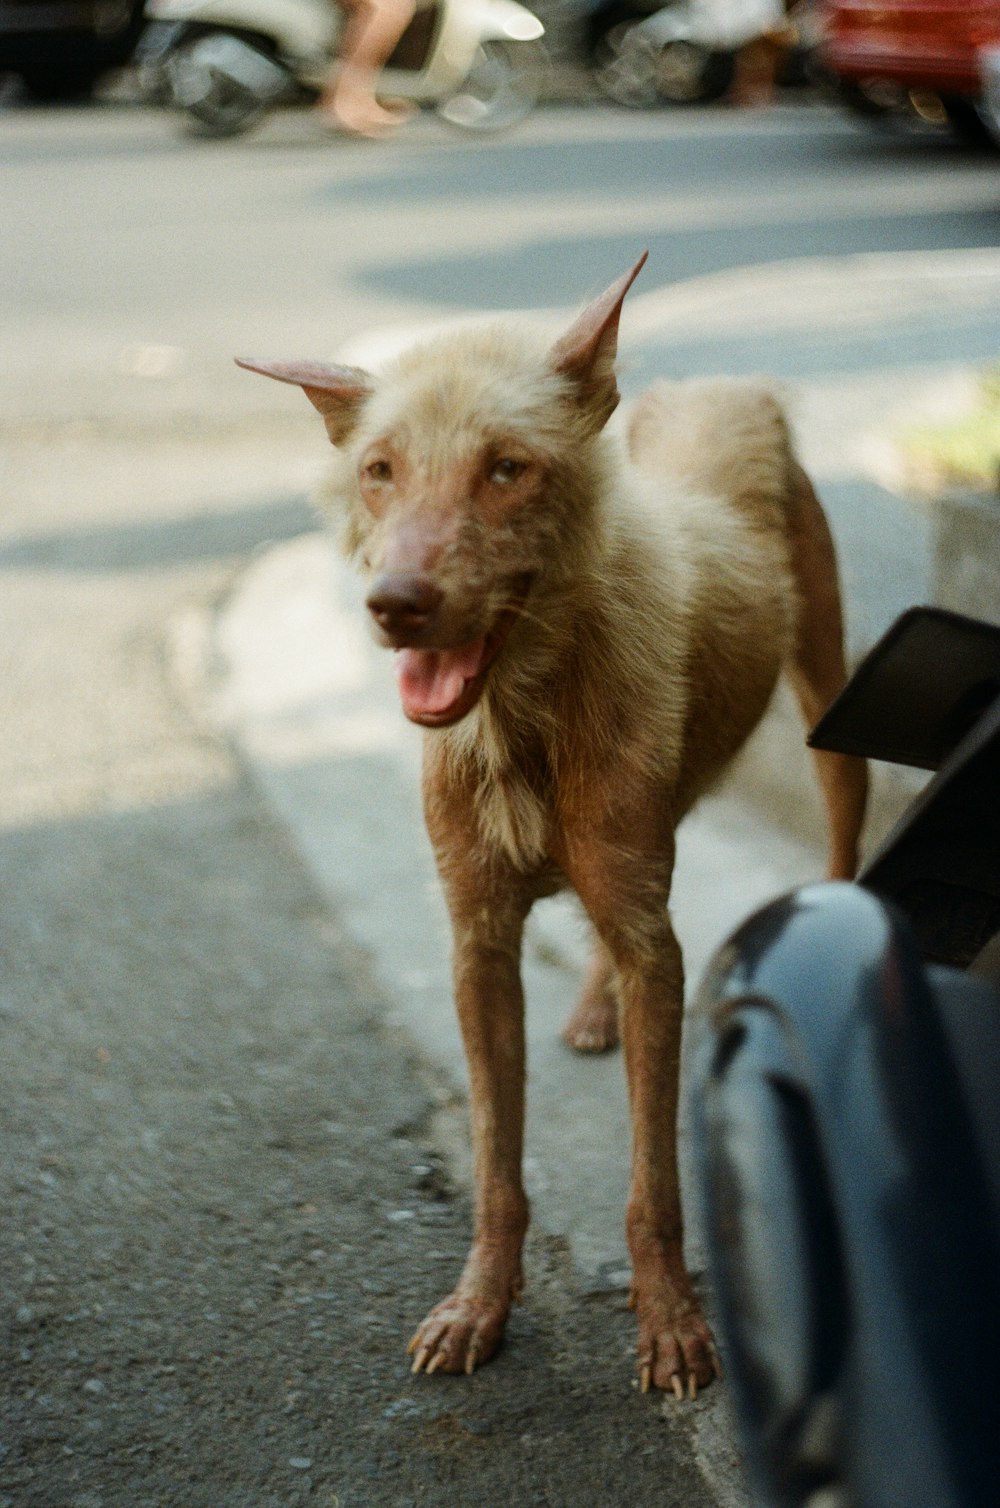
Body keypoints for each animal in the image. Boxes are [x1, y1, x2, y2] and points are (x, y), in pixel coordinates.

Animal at [238, 253, 874, 1393]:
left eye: (506, 468)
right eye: (379, 470)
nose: (395, 604)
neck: (523, 715)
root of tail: (724, 387)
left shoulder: (654, 944)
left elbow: (653, 1180)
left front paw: (670, 1320)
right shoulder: (476, 944)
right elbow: (498, 1164)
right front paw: (478, 1306)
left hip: (824, 701)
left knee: (835, 829)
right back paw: (590, 1004)